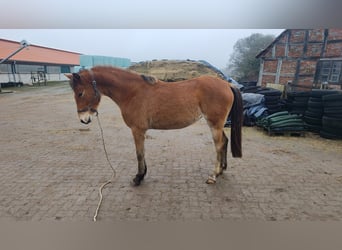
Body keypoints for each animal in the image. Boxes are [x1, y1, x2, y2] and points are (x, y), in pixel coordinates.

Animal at [67, 66, 243, 186]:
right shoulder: (140, 131)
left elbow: (139, 153)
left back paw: (213, 175)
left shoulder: (137, 130)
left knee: (219, 145)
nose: (84, 119)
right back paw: (222, 170)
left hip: (214, 124)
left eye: (80, 93)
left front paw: (138, 177)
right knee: (224, 142)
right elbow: (142, 152)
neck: (132, 92)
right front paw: (143, 174)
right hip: (218, 125)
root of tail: (227, 85)